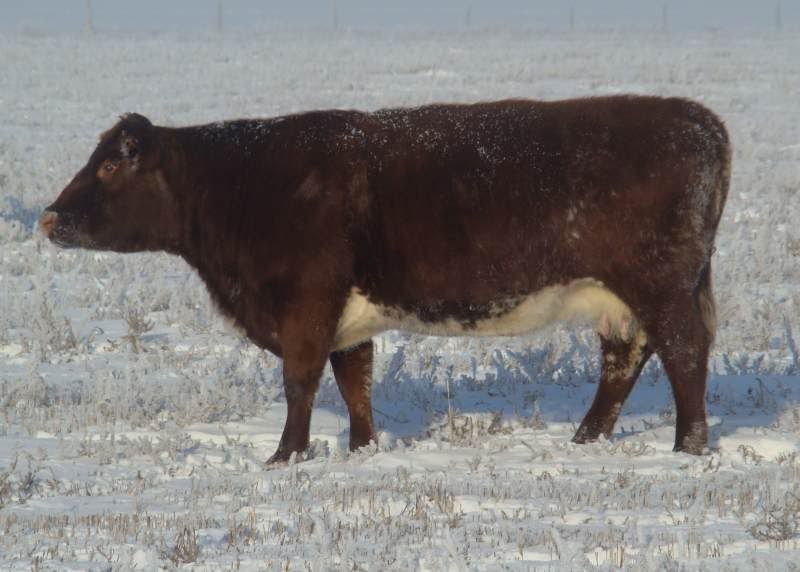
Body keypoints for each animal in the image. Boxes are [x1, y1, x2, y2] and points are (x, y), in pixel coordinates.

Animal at [40, 96, 730, 462]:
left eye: (110, 166)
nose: (47, 217)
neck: (243, 184)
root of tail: (698, 119)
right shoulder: (345, 321)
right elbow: (356, 383)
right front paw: (362, 450)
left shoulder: (306, 304)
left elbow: (300, 382)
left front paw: (285, 456)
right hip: (624, 297)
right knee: (624, 359)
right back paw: (586, 440)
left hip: (662, 285)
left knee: (684, 352)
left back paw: (688, 446)